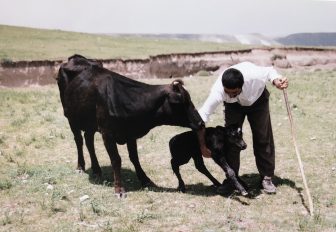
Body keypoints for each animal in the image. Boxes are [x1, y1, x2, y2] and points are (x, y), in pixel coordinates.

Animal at [56, 54, 203, 198]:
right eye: (181, 103)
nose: (201, 123)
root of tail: (76, 58)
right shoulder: (107, 133)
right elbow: (116, 159)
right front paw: (119, 189)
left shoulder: (131, 134)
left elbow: (134, 157)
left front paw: (145, 180)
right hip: (71, 118)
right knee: (79, 141)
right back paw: (81, 167)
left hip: (89, 122)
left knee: (88, 140)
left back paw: (96, 169)